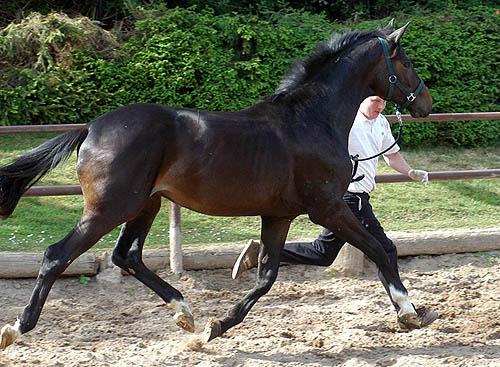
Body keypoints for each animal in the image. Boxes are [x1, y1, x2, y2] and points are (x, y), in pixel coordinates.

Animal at [0, 20, 430, 350]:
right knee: (57, 255)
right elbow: (379, 250)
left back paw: (186, 313)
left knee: (127, 256)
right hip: (109, 208)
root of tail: (91, 127)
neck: (312, 119)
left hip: (145, 205)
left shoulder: (279, 215)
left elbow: (266, 277)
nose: (425, 103)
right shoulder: (328, 207)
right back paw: (17, 328)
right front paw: (410, 314)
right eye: (406, 61)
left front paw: (216, 326)